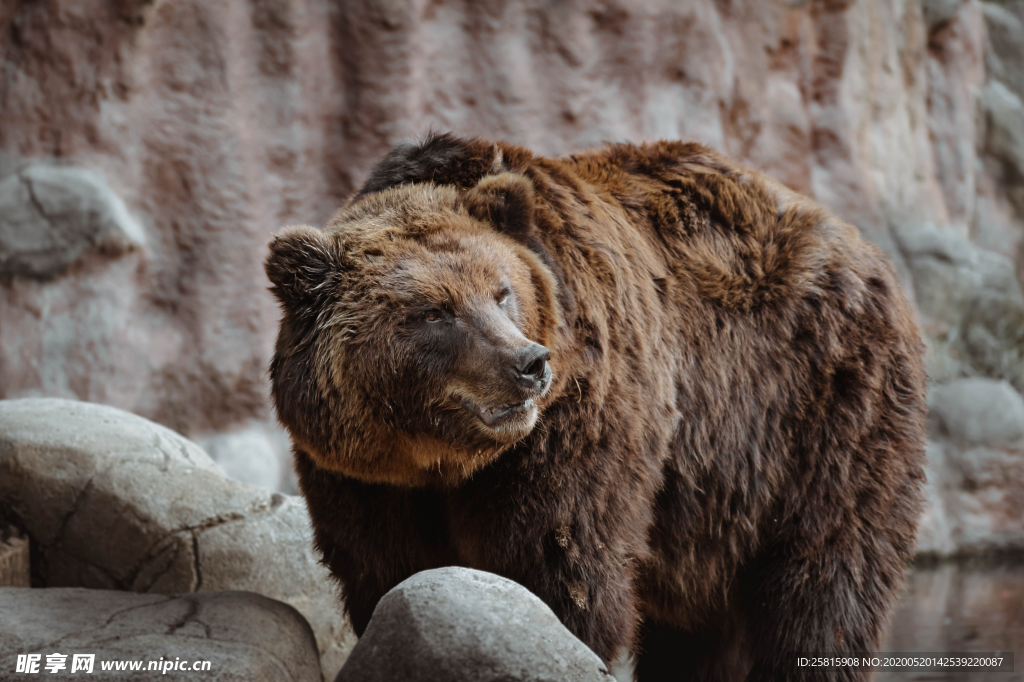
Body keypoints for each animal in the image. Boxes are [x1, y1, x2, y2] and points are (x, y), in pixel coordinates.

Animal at [264, 130, 929, 675]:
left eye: (502, 292)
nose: (528, 363)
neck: (438, 461)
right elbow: (386, 573)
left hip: (821, 416)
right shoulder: (363, 480)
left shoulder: (576, 426)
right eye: (433, 312)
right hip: (719, 507)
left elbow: (561, 564)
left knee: (825, 581)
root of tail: (867, 250)